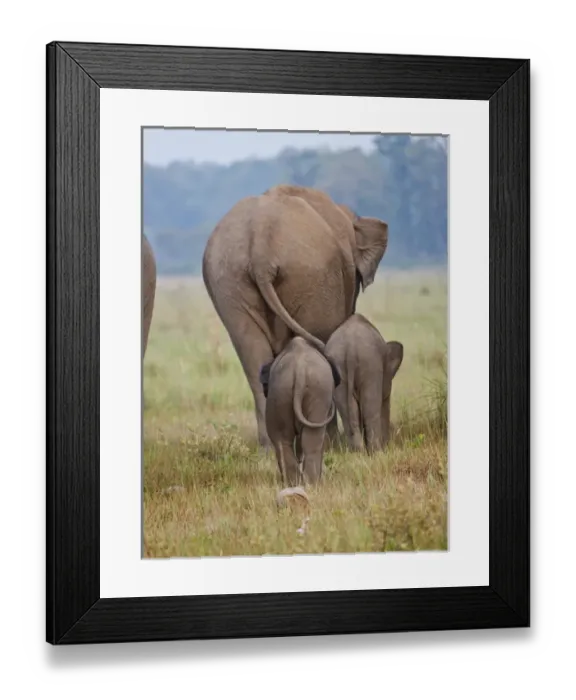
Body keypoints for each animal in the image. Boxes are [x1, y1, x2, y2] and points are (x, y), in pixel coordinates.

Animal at [202, 184, 389, 447]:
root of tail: (260, 244)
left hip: (228, 281)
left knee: (252, 355)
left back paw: (270, 448)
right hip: (313, 278)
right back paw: (326, 443)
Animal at [259, 336, 340, 487]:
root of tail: (299, 370)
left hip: (282, 391)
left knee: (283, 440)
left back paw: (294, 483)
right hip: (318, 391)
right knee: (310, 439)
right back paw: (311, 483)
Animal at [325, 313, 404, 453]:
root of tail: (350, 348)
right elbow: (384, 403)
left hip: (338, 368)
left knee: (348, 413)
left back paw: (358, 453)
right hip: (370, 365)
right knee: (371, 410)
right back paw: (376, 452)